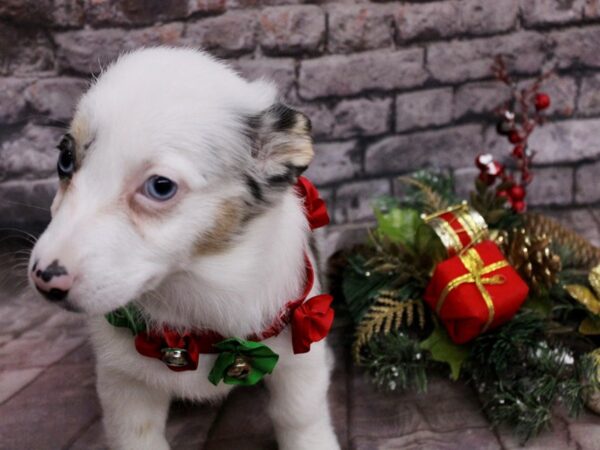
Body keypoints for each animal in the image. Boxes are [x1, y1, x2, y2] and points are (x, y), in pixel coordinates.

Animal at [28, 47, 340, 450]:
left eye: (160, 186)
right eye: (64, 160)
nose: (44, 279)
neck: (193, 288)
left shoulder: (297, 362)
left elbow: (300, 418)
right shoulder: (124, 383)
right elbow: (134, 435)